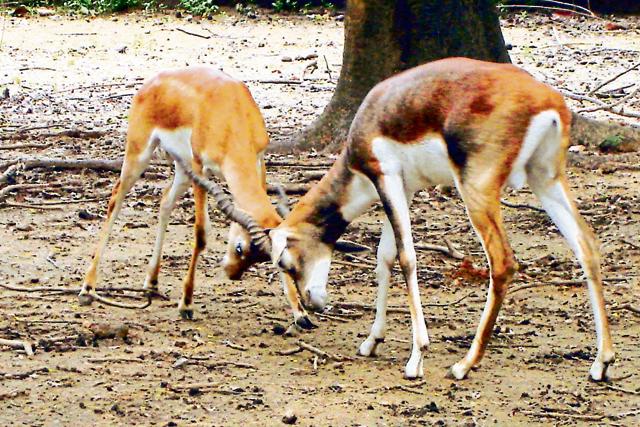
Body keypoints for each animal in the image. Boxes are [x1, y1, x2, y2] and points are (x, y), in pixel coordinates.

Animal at [78, 66, 284, 318]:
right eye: (240, 247)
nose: (232, 273)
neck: (231, 112)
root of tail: (151, 82)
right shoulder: (200, 167)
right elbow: (201, 233)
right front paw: (186, 304)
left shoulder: (258, 159)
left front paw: (301, 315)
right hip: (140, 152)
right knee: (116, 198)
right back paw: (87, 289)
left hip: (181, 169)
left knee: (165, 201)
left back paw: (151, 283)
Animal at [170, 58, 615, 381]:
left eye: (283, 260)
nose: (312, 304)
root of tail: (547, 101)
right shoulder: (405, 187)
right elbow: (383, 258)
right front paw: (372, 341)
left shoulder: (386, 177)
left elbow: (406, 259)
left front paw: (416, 358)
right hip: (546, 178)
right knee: (588, 245)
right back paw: (602, 363)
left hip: (477, 189)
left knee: (503, 262)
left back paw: (464, 365)